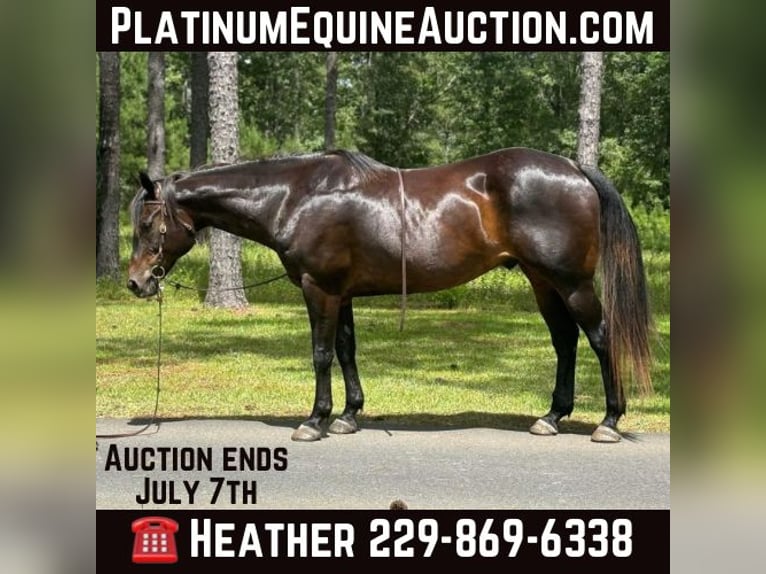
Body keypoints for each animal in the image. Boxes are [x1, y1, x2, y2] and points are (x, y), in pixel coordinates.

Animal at [127, 148, 652, 443]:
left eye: (149, 222)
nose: (136, 282)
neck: (296, 196)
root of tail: (574, 168)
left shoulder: (320, 289)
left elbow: (321, 354)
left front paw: (315, 421)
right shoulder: (341, 294)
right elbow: (345, 350)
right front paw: (348, 416)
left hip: (571, 283)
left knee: (601, 338)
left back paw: (609, 422)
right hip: (543, 282)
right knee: (565, 342)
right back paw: (553, 416)